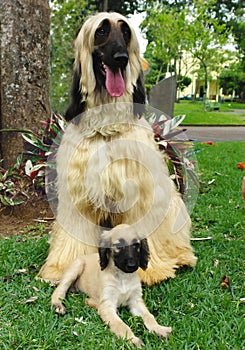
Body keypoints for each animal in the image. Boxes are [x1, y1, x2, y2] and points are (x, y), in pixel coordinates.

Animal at [39, 11, 197, 284]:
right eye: (101, 31)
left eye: (125, 32)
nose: (122, 59)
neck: (107, 129)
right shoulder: (78, 196)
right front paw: (63, 268)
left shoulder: (139, 193)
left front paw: (150, 270)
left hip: (172, 203)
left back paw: (182, 256)